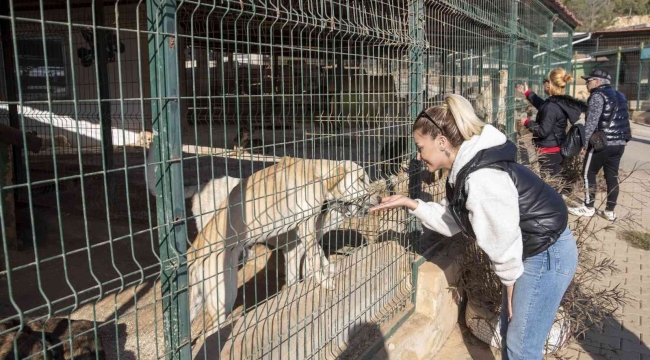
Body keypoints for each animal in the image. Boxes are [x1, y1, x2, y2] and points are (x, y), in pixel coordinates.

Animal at [187, 158, 380, 332]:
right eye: (360, 179)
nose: (379, 198)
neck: (318, 174)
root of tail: (192, 253)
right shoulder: (304, 230)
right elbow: (314, 259)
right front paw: (324, 280)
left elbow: (314, 259)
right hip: (222, 298)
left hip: (209, 297)